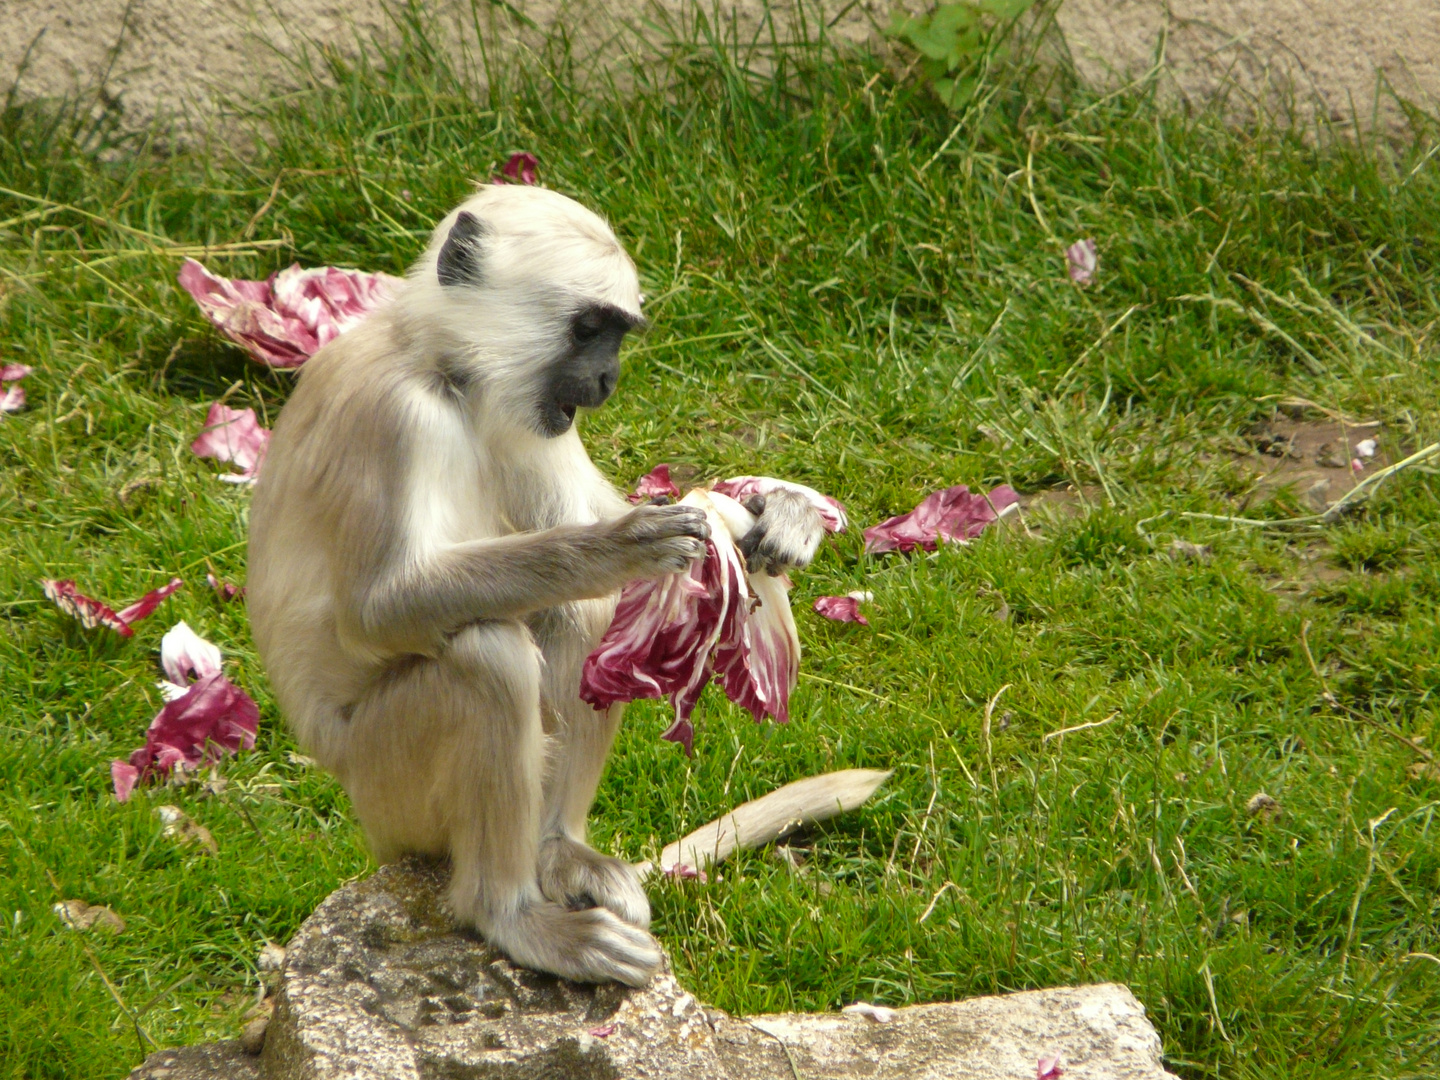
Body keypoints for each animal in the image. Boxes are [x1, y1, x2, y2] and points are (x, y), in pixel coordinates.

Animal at [246, 184, 829, 990]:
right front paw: (619, 547)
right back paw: (509, 916)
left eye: (616, 336)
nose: (608, 381)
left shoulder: (524, 413)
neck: (443, 370)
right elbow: (376, 613)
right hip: (388, 788)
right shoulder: (394, 414)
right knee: (489, 655)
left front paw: (770, 512)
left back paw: (556, 850)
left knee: (574, 619)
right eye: (587, 330)